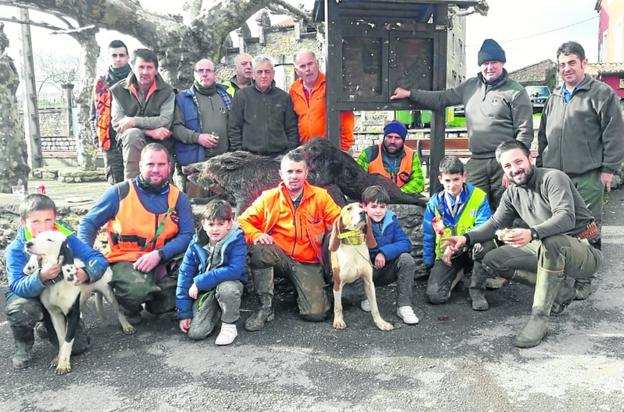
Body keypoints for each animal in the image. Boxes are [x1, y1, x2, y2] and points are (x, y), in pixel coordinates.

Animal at [330, 204, 392, 332]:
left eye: (361, 206)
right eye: (349, 209)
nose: (363, 212)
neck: (354, 244)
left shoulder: (369, 282)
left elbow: (375, 307)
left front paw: (380, 323)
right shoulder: (337, 284)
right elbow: (338, 306)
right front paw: (338, 321)